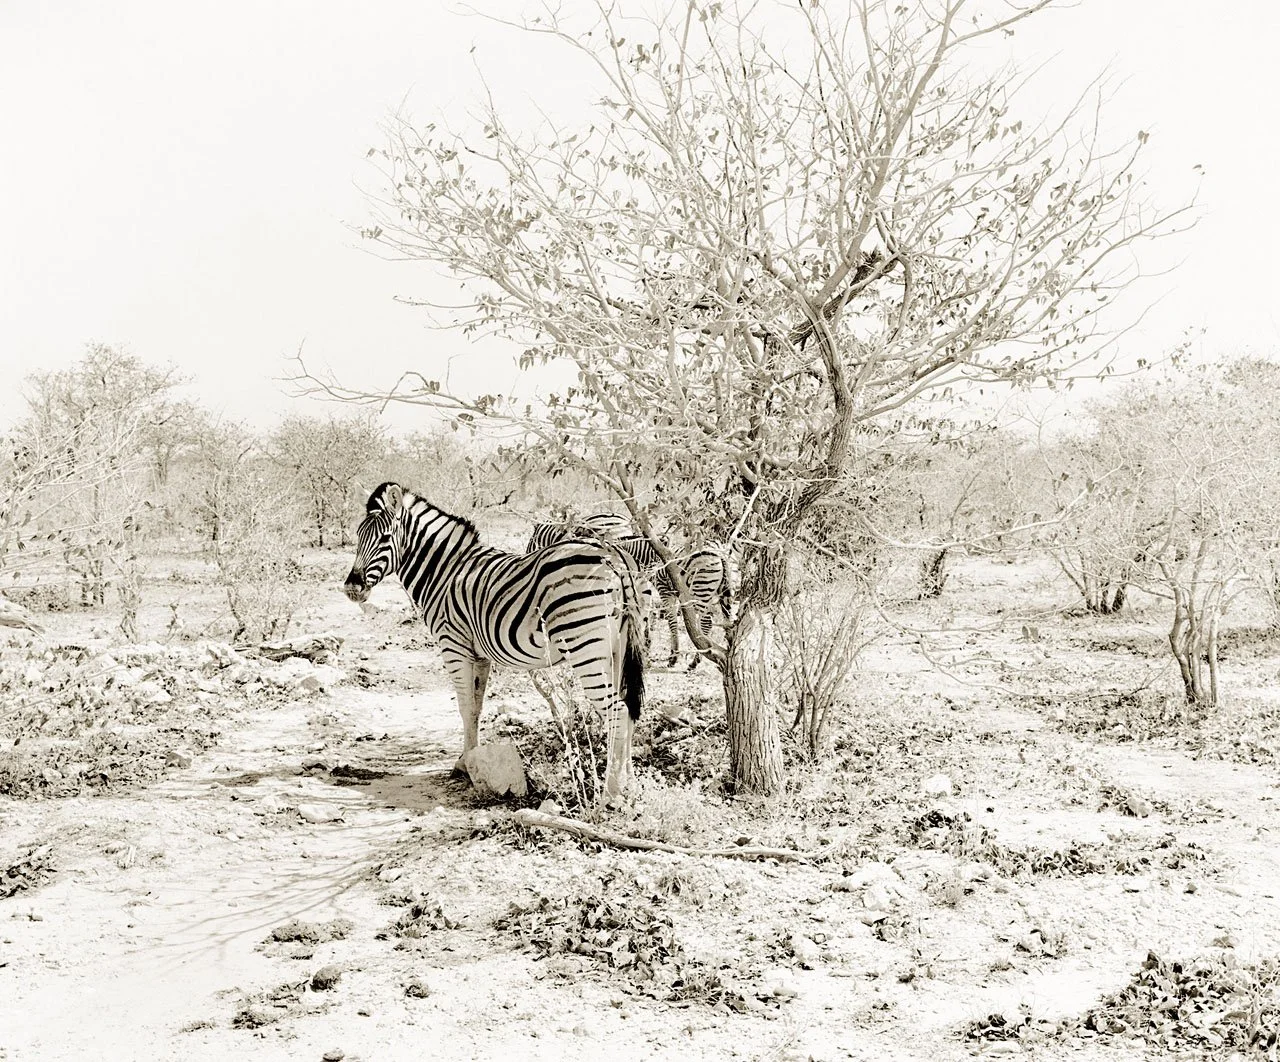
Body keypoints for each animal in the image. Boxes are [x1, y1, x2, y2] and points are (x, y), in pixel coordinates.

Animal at [344, 483, 646, 802]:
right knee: (628, 708)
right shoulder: (480, 655)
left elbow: (464, 706)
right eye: (358, 535)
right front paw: (469, 760)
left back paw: (610, 793)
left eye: (385, 538)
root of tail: (615, 555)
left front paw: (464, 764)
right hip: (618, 648)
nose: (351, 588)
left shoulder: (453, 646)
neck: (443, 573)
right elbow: (476, 708)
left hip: (584, 646)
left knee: (617, 711)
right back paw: (630, 785)